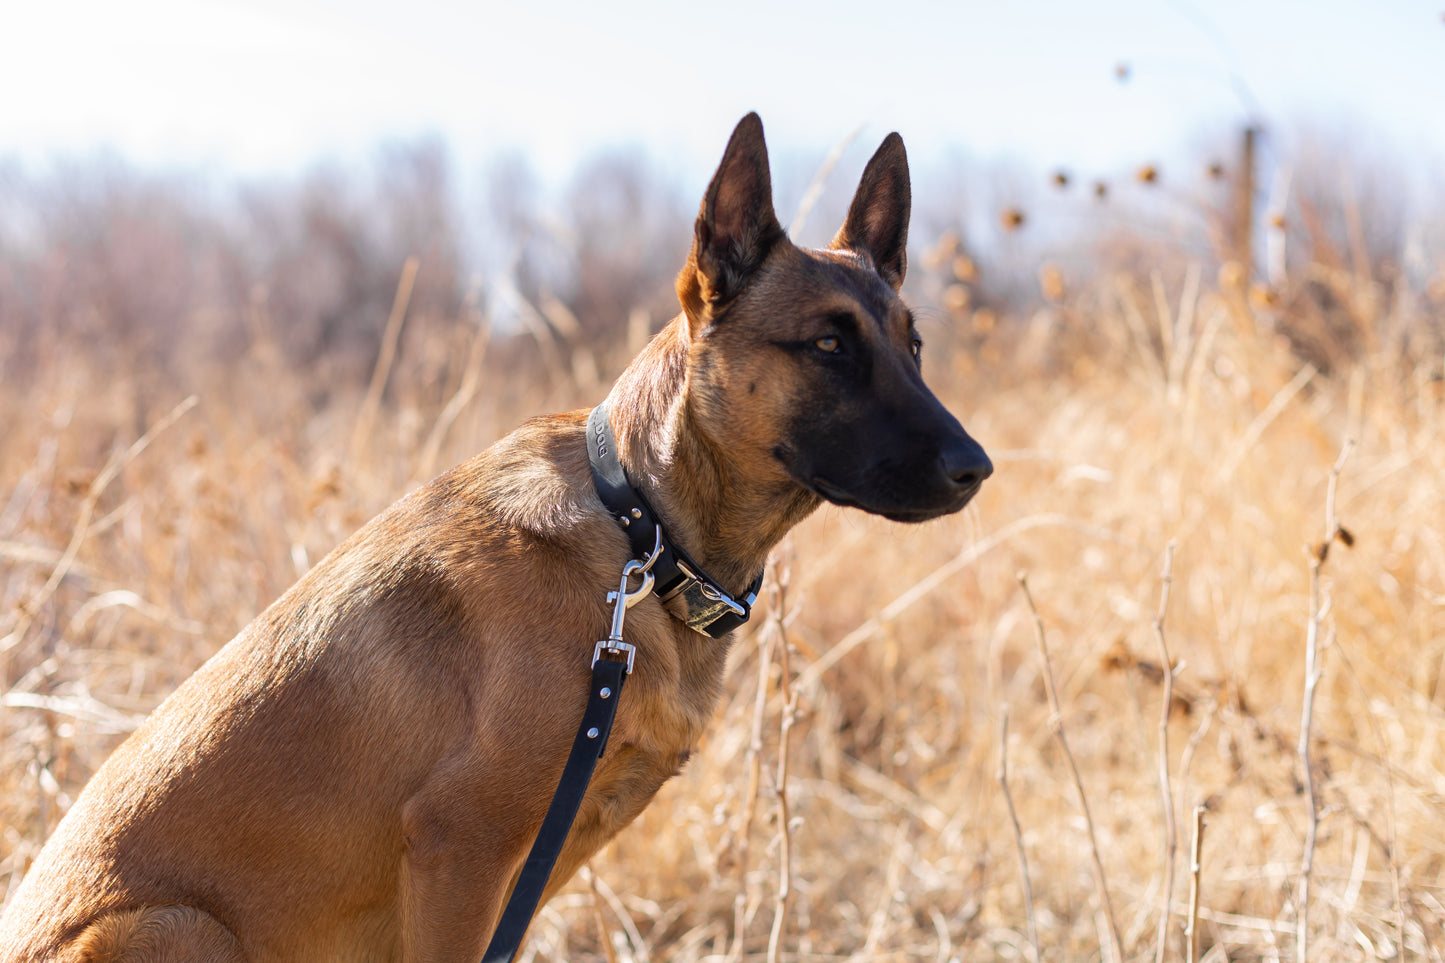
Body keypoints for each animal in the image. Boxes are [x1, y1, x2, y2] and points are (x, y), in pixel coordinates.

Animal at [0, 114, 988, 960]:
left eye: (913, 346)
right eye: (827, 345)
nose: (974, 467)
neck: (642, 531)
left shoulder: (535, 859)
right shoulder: (462, 844)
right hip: (179, 926)